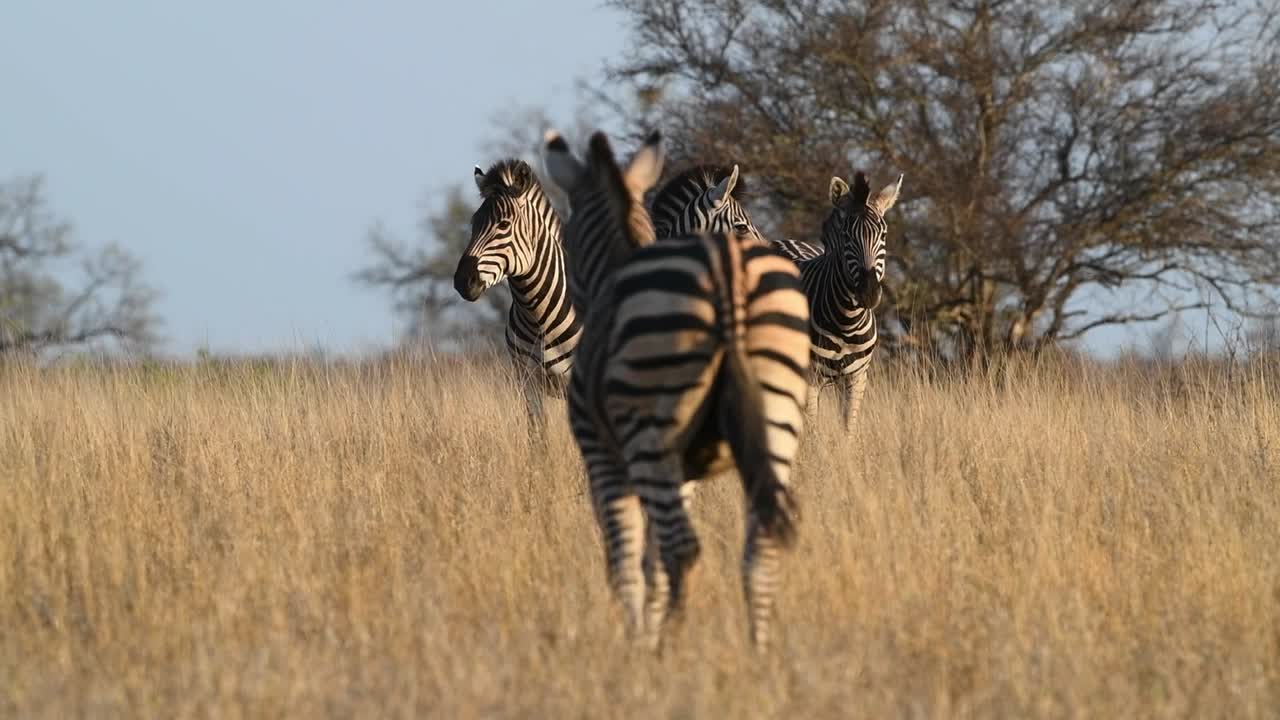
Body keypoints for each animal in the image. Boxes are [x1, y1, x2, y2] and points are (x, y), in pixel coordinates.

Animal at [453, 159, 582, 430]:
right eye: (473, 223)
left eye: (503, 224)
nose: (462, 281)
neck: (539, 316)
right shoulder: (527, 381)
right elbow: (538, 436)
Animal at [544, 129, 811, 650]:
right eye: (744, 224)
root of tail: (724, 271)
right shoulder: (682, 473)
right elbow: (652, 557)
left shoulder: (604, 455)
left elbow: (627, 556)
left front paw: (636, 638)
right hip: (775, 419)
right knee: (758, 545)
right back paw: (757, 652)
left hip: (651, 432)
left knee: (682, 548)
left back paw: (670, 648)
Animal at [773, 172, 903, 434]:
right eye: (846, 236)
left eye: (883, 236)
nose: (868, 292)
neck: (847, 323)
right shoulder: (811, 378)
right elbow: (812, 434)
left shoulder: (857, 379)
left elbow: (848, 431)